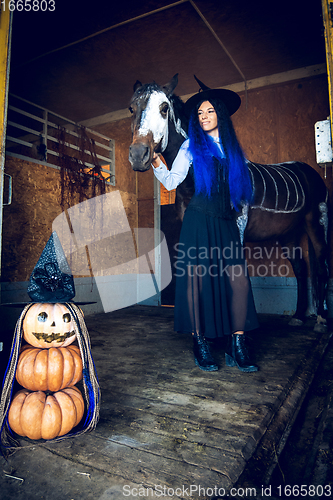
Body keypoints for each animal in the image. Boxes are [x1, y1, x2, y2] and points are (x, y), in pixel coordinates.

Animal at [128, 74, 328, 332]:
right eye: (132, 108)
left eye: (164, 108)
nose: (138, 155)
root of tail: (309, 171)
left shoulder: (237, 229)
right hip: (288, 233)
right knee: (301, 267)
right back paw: (298, 317)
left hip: (316, 221)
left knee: (321, 263)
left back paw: (321, 320)